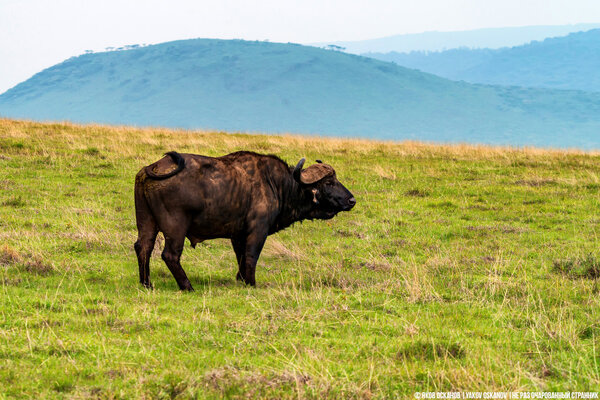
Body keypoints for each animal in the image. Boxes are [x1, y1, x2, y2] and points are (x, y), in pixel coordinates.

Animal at [134, 150, 354, 290]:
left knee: (143, 247)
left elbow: (240, 256)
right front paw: (251, 283)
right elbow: (251, 256)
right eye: (329, 182)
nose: (351, 200)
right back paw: (187, 286)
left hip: (147, 222)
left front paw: (240, 279)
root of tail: (151, 169)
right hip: (176, 228)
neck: (277, 184)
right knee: (170, 255)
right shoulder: (257, 230)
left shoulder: (237, 234)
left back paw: (147, 284)